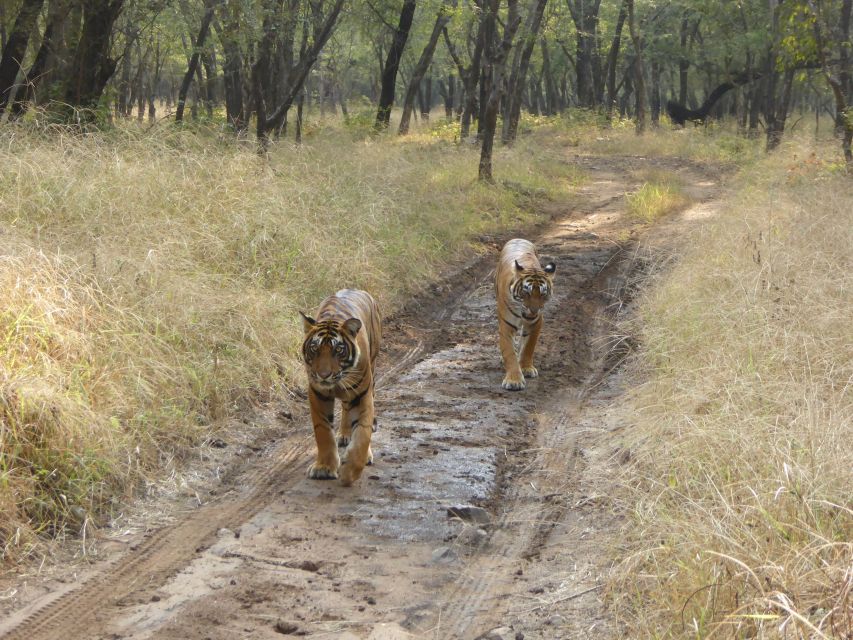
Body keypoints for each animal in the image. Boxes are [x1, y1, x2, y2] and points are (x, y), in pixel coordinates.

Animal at [300, 288, 380, 484]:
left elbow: (363, 432)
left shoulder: (362, 394)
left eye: (338, 350)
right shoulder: (317, 394)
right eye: (315, 348)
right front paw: (324, 468)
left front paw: (351, 470)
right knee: (345, 407)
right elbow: (323, 432)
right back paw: (344, 434)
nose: (324, 375)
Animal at [496, 238, 556, 390]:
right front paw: (514, 380)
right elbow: (509, 352)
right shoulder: (506, 324)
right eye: (526, 292)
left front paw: (526, 368)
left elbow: (529, 346)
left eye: (543, 293)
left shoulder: (536, 322)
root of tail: (518, 238)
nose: (533, 311)